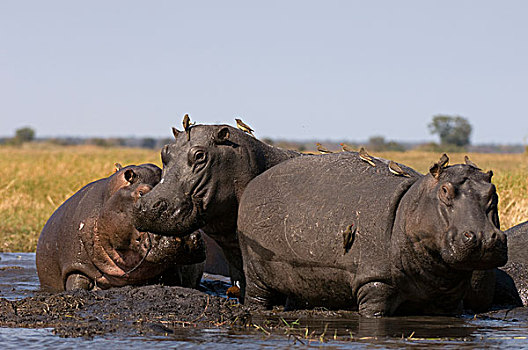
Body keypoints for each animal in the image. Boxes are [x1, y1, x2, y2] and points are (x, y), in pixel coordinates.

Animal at [236, 153, 508, 318]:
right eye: (444, 190)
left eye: (493, 191)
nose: (485, 237)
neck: (411, 205)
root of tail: (254, 182)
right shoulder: (375, 285)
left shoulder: (449, 300)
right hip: (254, 268)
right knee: (257, 294)